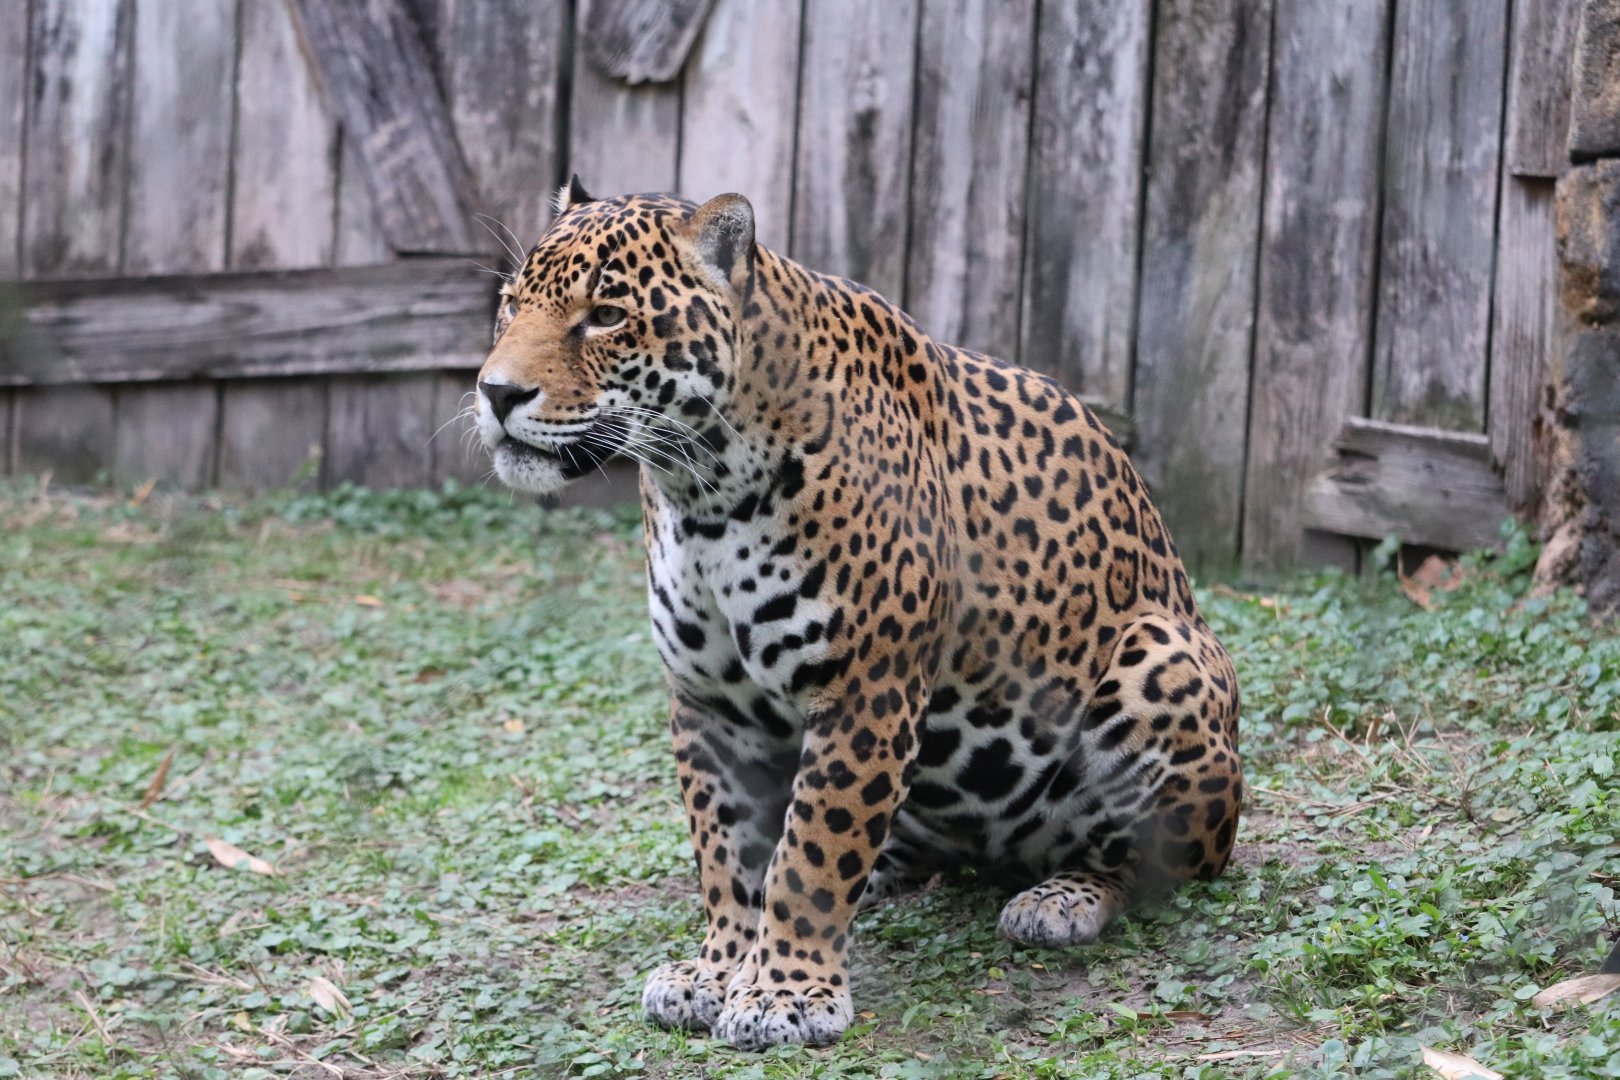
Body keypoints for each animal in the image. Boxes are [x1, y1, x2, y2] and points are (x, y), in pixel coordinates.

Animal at [475, 178, 1242, 1050]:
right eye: (510, 304)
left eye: (605, 315)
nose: (496, 392)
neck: (701, 491)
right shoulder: (708, 703)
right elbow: (727, 852)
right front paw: (717, 969)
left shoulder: (863, 691)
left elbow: (814, 850)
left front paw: (784, 993)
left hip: (1161, 662)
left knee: (1158, 861)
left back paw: (1061, 898)